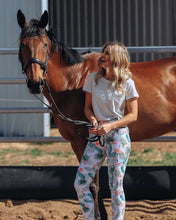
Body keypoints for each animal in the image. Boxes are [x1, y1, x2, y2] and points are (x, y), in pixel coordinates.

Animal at [17, 9, 176, 219]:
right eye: (23, 44)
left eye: (45, 44)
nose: (35, 83)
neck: (74, 81)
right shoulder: (80, 142)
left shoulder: (83, 139)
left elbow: (93, 184)